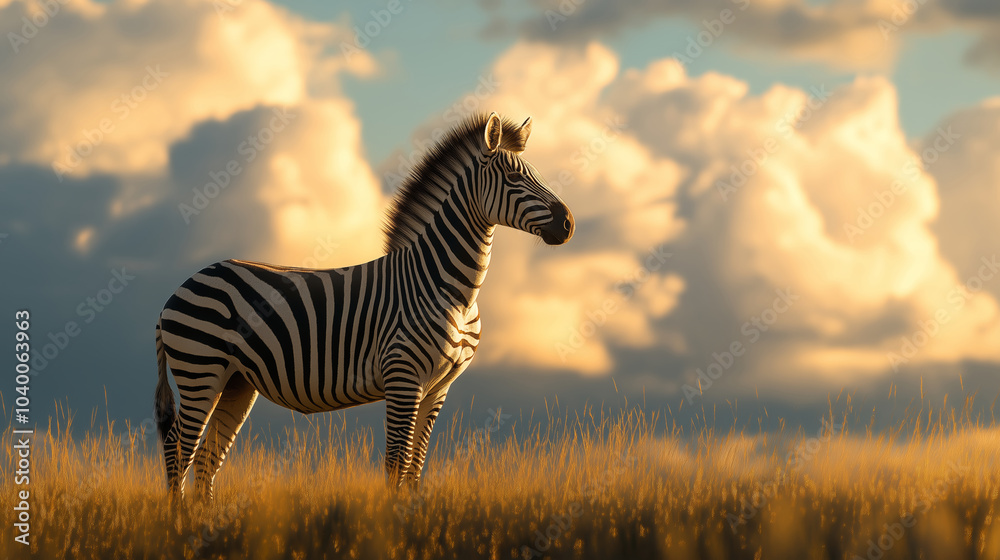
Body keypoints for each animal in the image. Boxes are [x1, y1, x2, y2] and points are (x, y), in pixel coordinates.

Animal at [154, 112, 575, 500]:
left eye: (536, 175)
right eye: (514, 179)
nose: (568, 223)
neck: (449, 288)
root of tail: (176, 291)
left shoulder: (438, 387)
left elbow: (416, 466)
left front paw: (412, 517)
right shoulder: (403, 376)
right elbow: (396, 462)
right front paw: (392, 523)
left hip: (236, 381)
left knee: (207, 458)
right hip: (200, 368)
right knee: (180, 446)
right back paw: (179, 523)